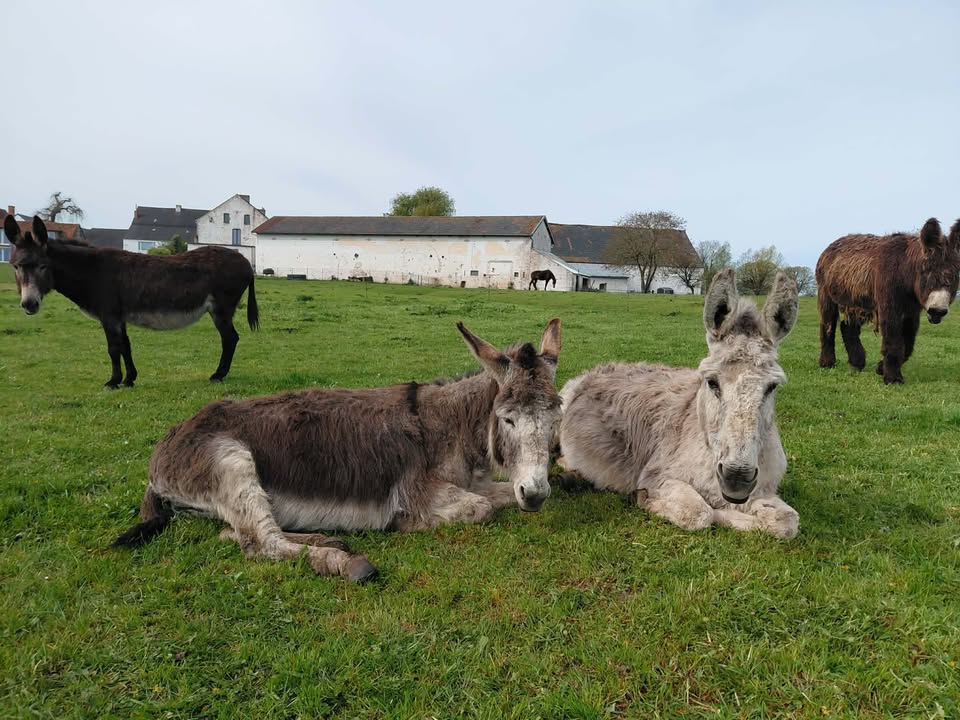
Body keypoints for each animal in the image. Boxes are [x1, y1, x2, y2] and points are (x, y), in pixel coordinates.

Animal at [4, 215, 259, 388]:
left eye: (42, 266)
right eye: (15, 266)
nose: (29, 305)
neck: (92, 272)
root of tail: (246, 262)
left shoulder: (108, 316)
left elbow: (113, 348)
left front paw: (113, 381)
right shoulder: (119, 317)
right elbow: (126, 346)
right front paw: (129, 379)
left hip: (221, 308)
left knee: (230, 339)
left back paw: (218, 375)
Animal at [113, 319, 563, 582]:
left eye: (557, 414)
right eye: (507, 419)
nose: (536, 494)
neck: (448, 427)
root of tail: (165, 447)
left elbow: (501, 497)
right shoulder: (419, 491)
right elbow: (482, 509)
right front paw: (406, 524)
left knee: (236, 533)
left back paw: (326, 540)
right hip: (231, 460)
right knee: (260, 544)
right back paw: (346, 562)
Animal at [556, 269, 801, 538]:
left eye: (772, 386)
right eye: (712, 382)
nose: (736, 478)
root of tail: (601, 368)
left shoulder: (762, 490)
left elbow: (787, 521)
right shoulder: (659, 476)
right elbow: (700, 513)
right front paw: (646, 499)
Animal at [816, 217, 960, 384]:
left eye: (955, 275)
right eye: (926, 272)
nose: (937, 312)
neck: (904, 271)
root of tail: (831, 246)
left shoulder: (911, 311)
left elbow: (908, 344)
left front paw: (881, 367)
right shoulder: (890, 306)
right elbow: (894, 341)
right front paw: (893, 378)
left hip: (856, 302)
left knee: (847, 327)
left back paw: (857, 363)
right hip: (826, 295)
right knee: (828, 326)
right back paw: (827, 363)